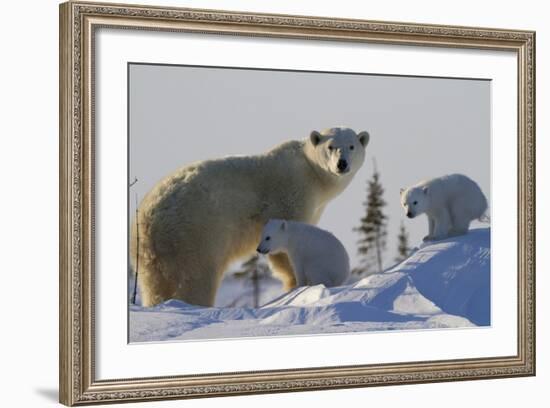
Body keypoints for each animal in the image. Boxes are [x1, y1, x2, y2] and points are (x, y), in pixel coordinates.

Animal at [130, 127, 370, 306]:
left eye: (352, 146)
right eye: (331, 147)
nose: (342, 164)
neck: (311, 172)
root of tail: (149, 220)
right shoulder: (291, 195)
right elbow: (285, 247)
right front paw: (294, 284)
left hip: (151, 256)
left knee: (154, 287)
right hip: (195, 235)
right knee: (197, 279)